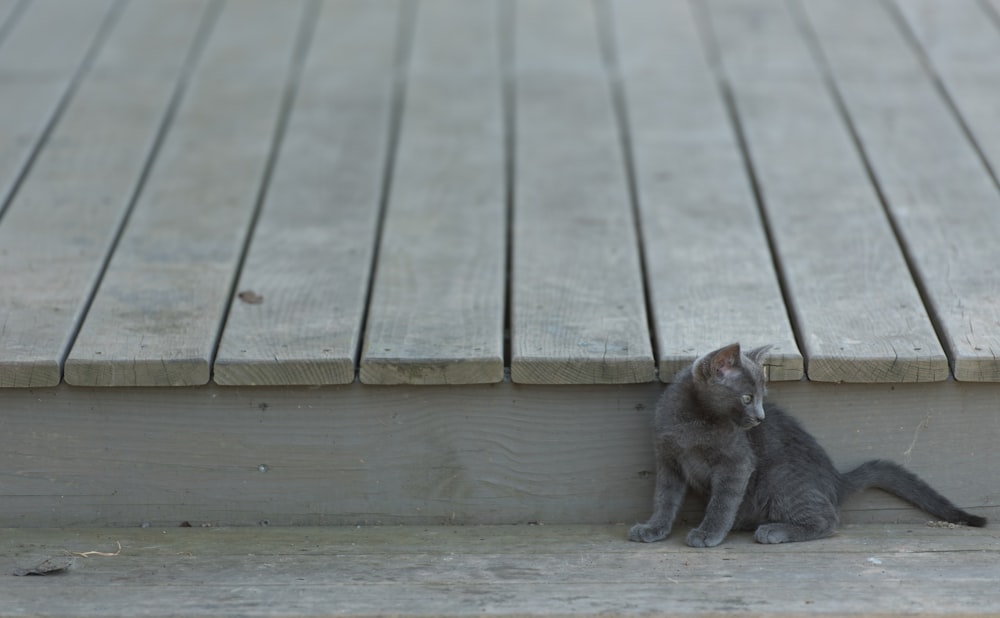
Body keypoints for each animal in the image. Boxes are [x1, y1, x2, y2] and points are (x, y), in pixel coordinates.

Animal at [628, 342, 988, 544]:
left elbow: (722, 502)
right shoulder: (669, 461)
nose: (760, 417)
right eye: (747, 398)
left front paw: (708, 533)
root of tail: (837, 480)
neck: (691, 422)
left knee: (828, 520)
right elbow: (664, 499)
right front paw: (653, 528)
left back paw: (774, 531)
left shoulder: (737, 463)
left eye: (762, 397)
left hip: (779, 479)